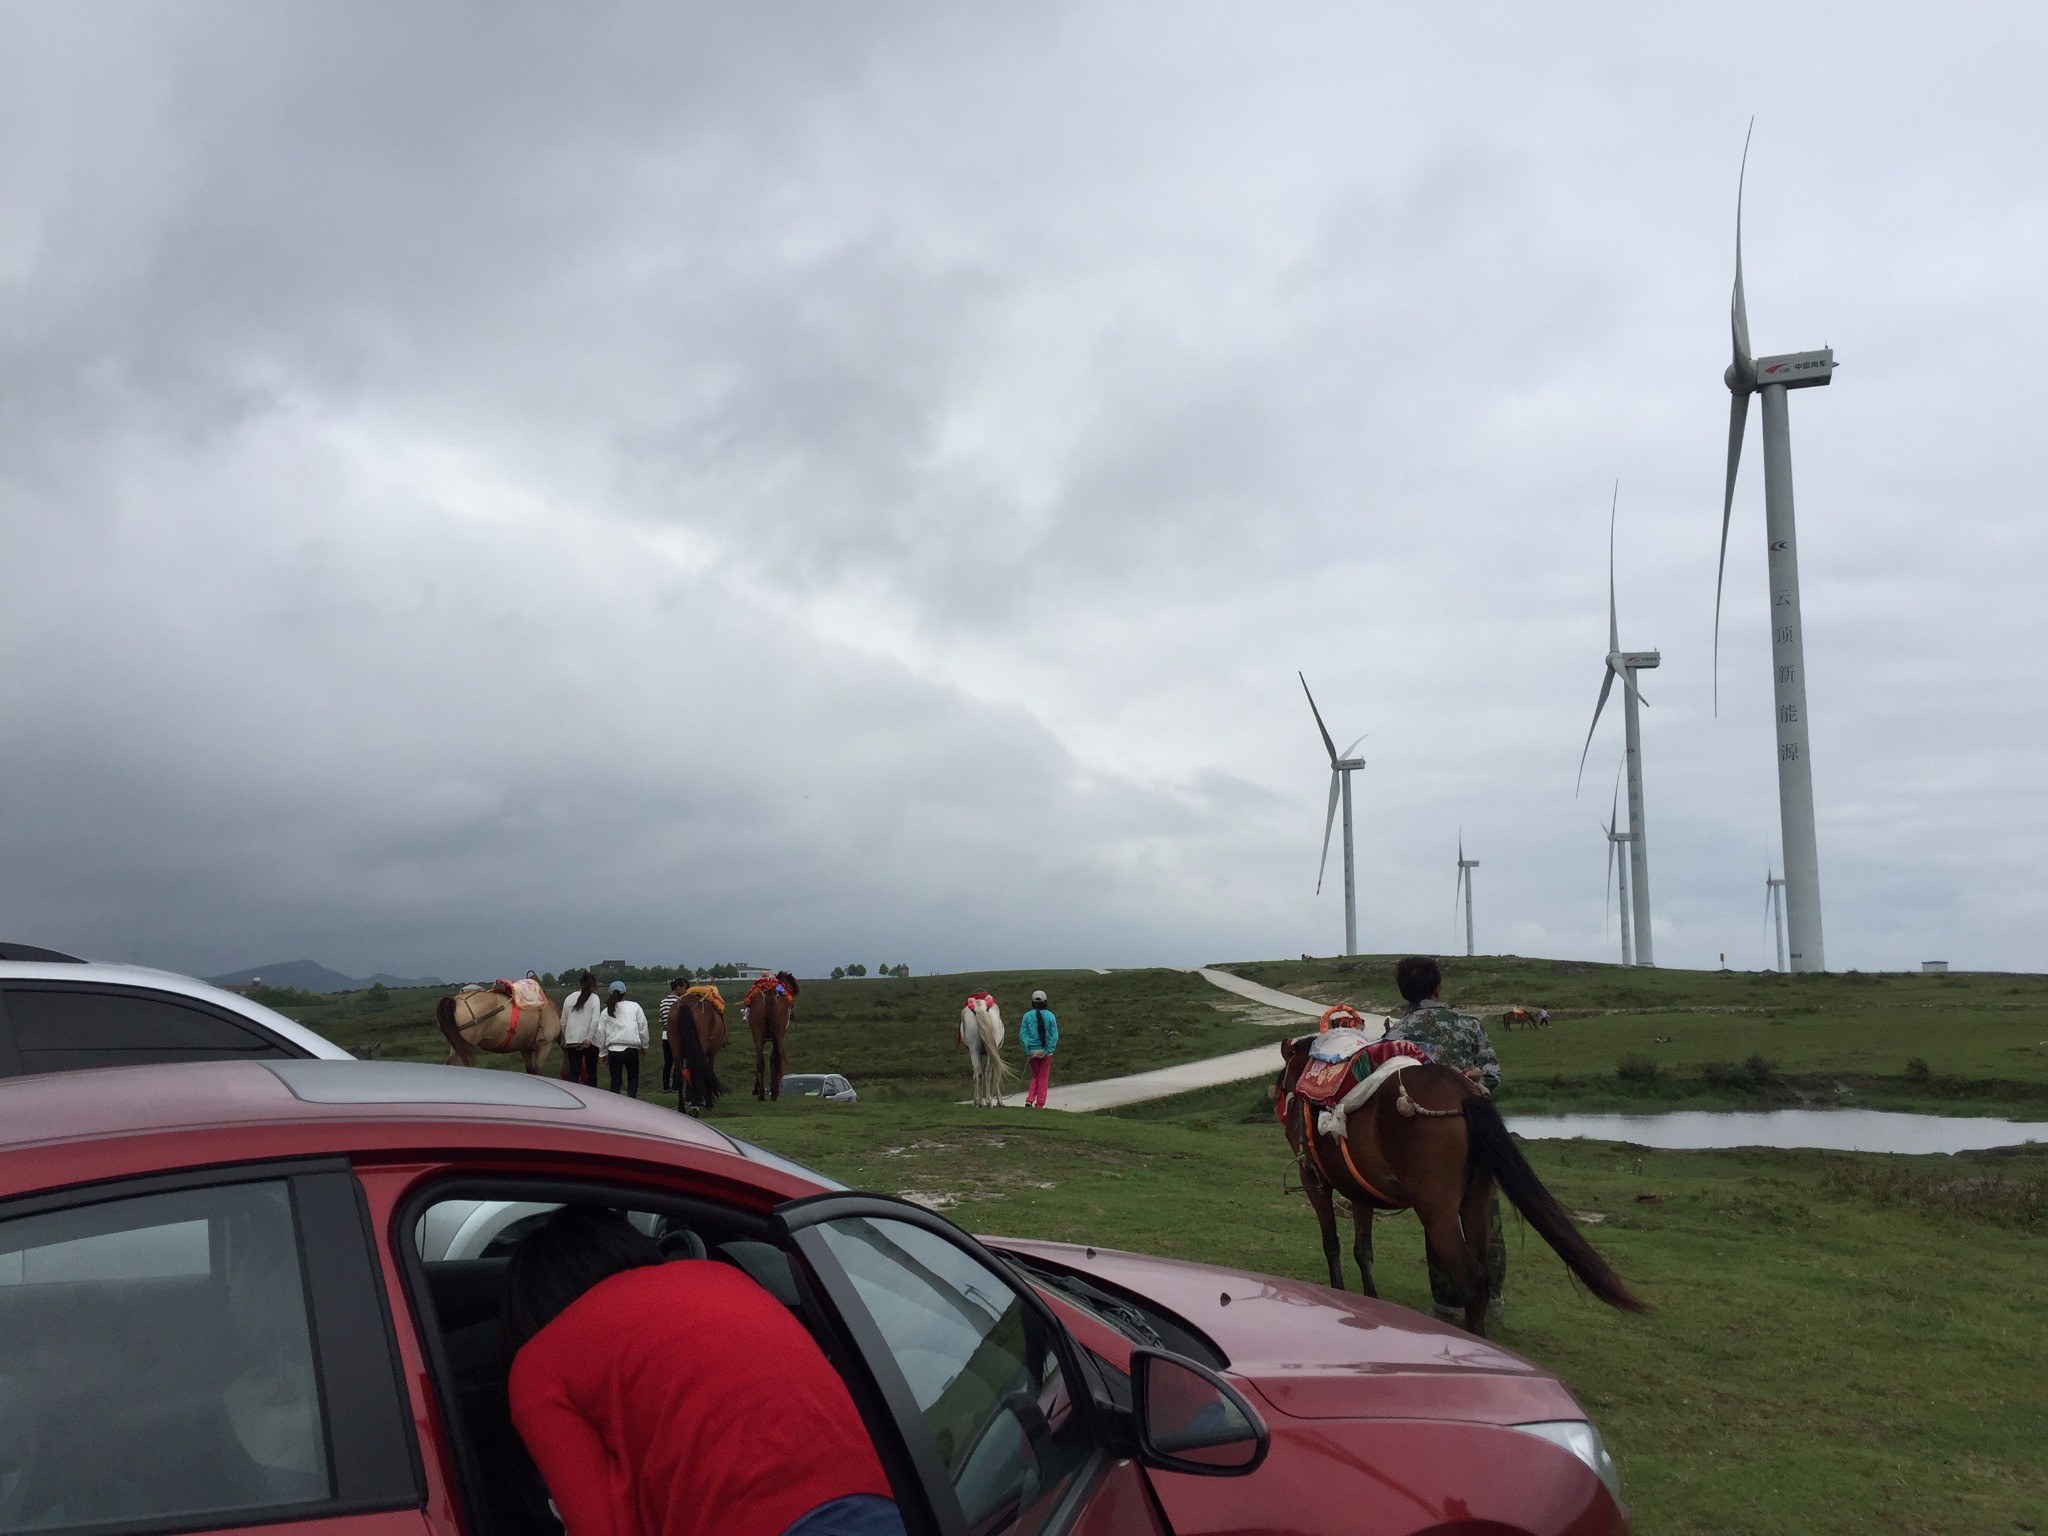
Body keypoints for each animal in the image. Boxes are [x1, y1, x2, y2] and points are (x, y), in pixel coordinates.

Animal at [741, 974, 794, 1105]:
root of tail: (769, 993)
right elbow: (773, 1058)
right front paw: (773, 1090)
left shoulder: (763, 1038)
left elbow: (763, 1059)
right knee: (772, 1058)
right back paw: (770, 1093)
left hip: (758, 1033)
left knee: (761, 1060)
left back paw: (761, 1093)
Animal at [1261, 1040, 1646, 1343]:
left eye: (1281, 1083)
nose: (1278, 1105)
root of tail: (1464, 1094)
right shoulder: (1360, 1193)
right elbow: (1363, 1250)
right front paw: (1369, 1301)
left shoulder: (1315, 1182)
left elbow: (1332, 1243)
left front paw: (1338, 1292)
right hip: (1476, 1201)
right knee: (1485, 1273)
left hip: (1437, 1212)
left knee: (1472, 1279)